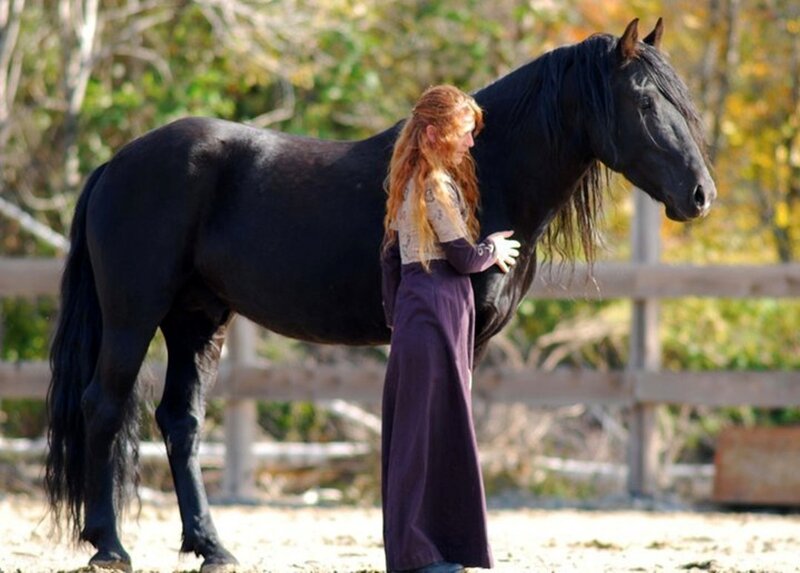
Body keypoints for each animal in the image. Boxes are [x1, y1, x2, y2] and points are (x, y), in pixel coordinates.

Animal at [45, 18, 715, 572]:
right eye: (645, 100)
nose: (702, 194)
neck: (487, 175)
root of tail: (116, 164)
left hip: (198, 320)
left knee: (180, 420)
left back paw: (213, 547)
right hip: (133, 317)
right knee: (104, 406)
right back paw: (109, 546)